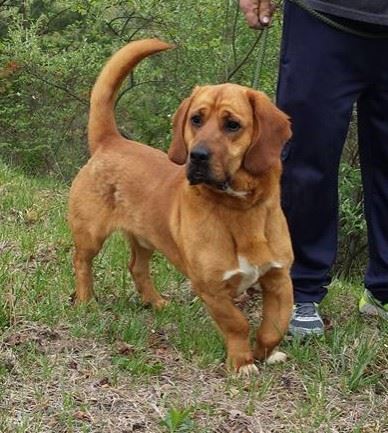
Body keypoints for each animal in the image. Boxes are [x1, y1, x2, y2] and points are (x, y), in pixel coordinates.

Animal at [69, 38, 294, 374]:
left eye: (232, 125)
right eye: (195, 119)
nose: (197, 156)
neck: (239, 209)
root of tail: (111, 140)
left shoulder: (280, 279)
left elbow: (273, 328)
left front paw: (265, 354)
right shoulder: (211, 288)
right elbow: (238, 324)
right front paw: (242, 363)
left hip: (145, 238)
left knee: (137, 268)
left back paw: (156, 302)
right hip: (91, 235)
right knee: (82, 263)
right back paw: (86, 301)